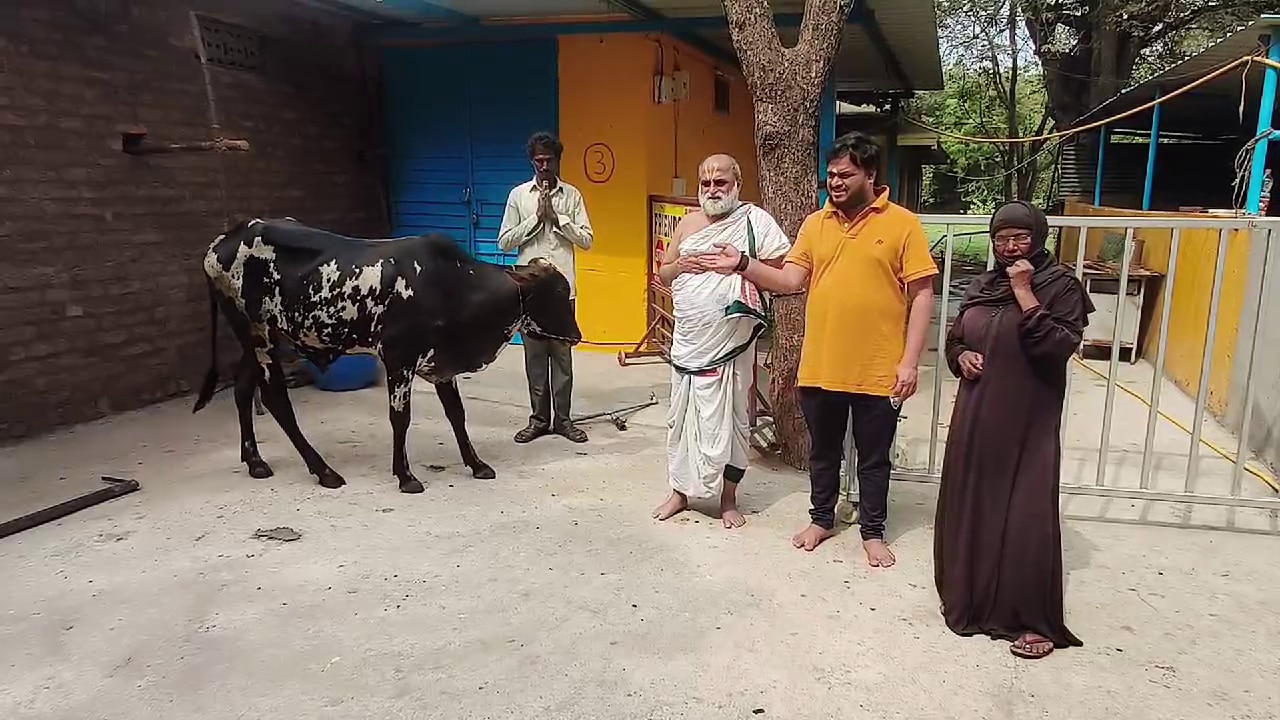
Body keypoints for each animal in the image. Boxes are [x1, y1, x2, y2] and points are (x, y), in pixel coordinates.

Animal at [190, 215, 581, 489]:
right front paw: (405, 476)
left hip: (254, 341)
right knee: (276, 402)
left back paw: (255, 461)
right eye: (556, 295)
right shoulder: (399, 359)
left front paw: (477, 464)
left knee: (243, 391)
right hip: (262, 339)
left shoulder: (441, 364)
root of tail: (223, 240)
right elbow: (400, 418)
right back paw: (324, 471)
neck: (450, 284)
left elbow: (457, 415)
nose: (577, 336)